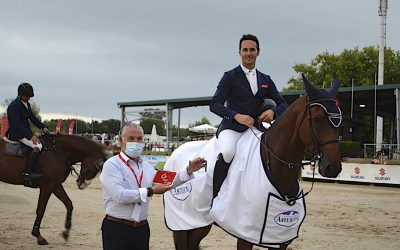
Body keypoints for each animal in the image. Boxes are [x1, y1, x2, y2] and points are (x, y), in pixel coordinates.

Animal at [170, 74, 342, 250]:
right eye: (317, 119)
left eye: (340, 119)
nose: (333, 168)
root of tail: (176, 150)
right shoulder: (245, 234)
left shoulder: (280, 239)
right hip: (181, 222)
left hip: (201, 222)